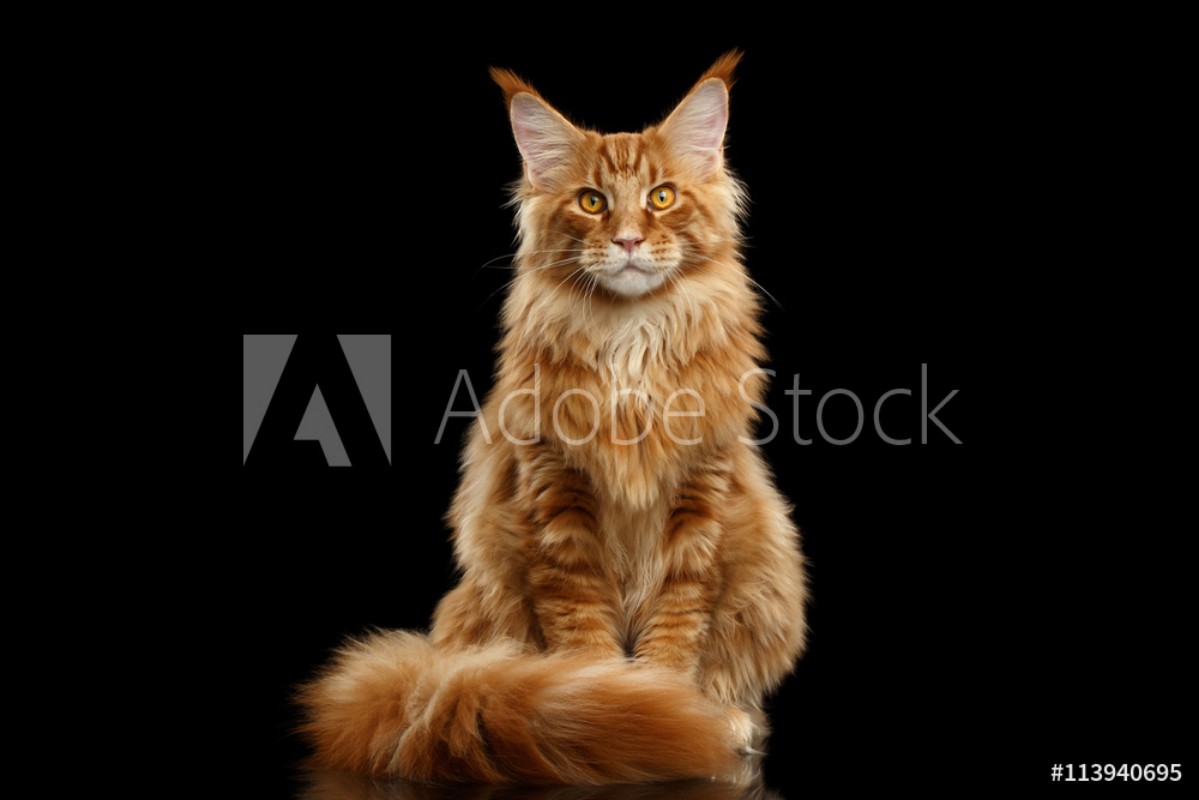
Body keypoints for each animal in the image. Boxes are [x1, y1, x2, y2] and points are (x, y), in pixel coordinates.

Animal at [302, 53, 805, 786]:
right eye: (591, 202)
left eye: (661, 197)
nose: (627, 239)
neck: (630, 340)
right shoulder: (555, 498)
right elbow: (582, 634)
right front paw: (621, 709)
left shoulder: (699, 500)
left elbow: (676, 628)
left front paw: (678, 708)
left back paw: (733, 716)